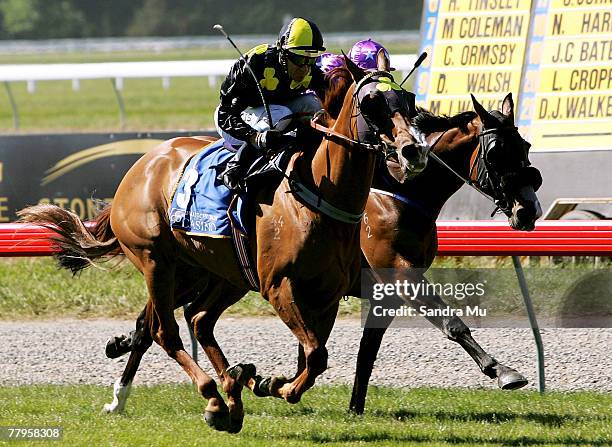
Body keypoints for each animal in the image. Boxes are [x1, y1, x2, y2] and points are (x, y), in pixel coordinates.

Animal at [17, 55, 420, 434]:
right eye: (371, 102)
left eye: (408, 99)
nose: (411, 151)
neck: (320, 192)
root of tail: (141, 167)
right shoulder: (278, 285)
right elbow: (315, 354)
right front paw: (269, 384)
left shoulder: (327, 295)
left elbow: (310, 357)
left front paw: (264, 381)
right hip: (157, 262)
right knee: (166, 331)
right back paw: (211, 397)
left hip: (212, 272)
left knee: (192, 320)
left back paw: (216, 390)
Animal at [346, 93, 544, 414]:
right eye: (495, 154)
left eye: (525, 146)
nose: (528, 210)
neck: (401, 188)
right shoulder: (400, 273)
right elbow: (452, 323)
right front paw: (501, 370)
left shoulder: (388, 290)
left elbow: (368, 348)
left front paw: (355, 408)